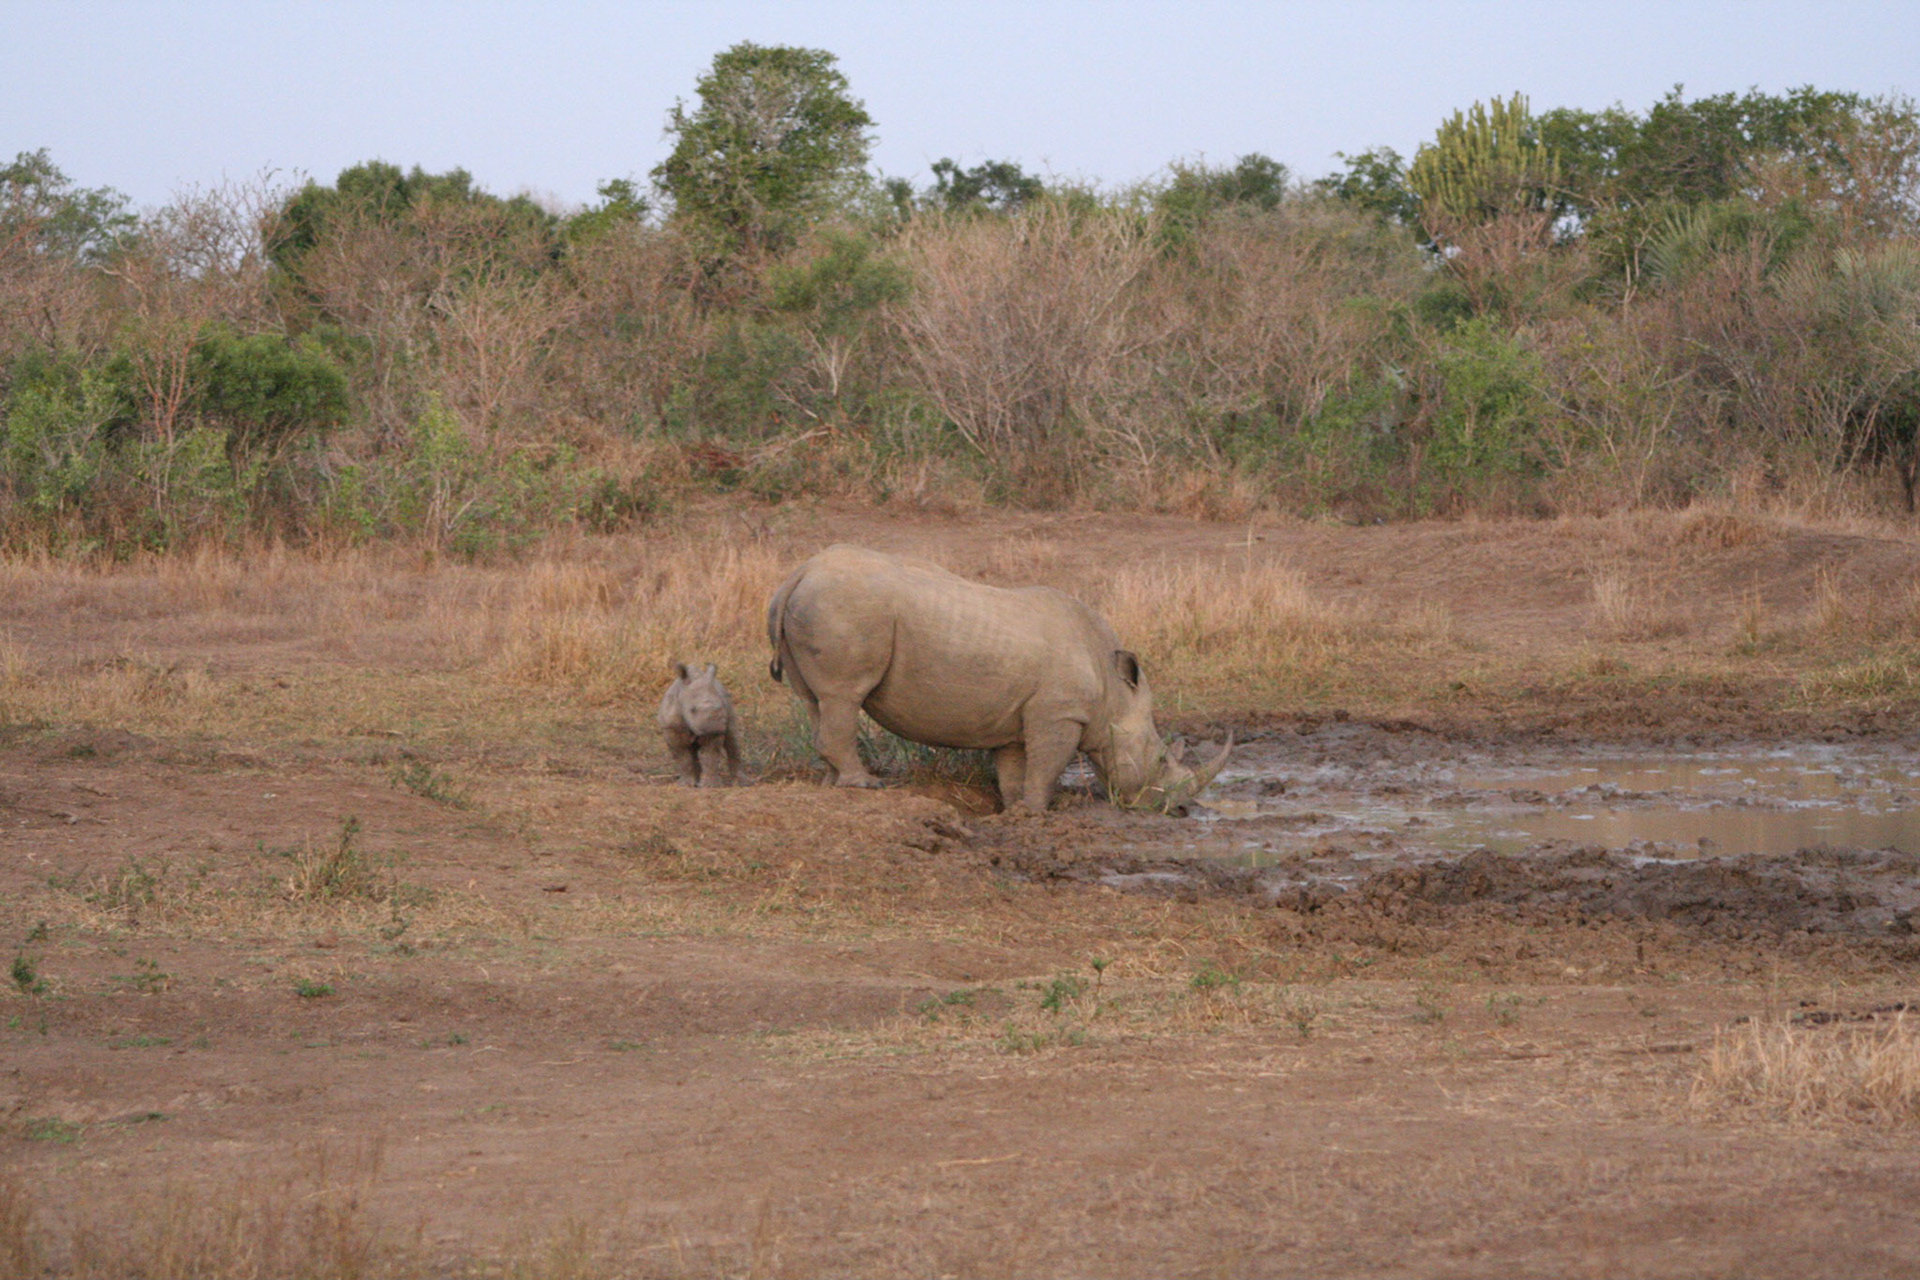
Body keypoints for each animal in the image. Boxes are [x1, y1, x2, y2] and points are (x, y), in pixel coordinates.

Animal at [766, 544, 1229, 812]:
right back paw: (866, 785)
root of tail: (799, 573)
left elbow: (1014, 767)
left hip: (821, 604)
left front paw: (1013, 809)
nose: (1179, 809)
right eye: (1161, 759)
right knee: (845, 695)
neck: (1114, 692)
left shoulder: (1020, 717)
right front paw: (1037, 812)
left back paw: (832, 783)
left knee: (817, 700)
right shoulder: (1060, 713)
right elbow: (1047, 765)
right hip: (846, 606)